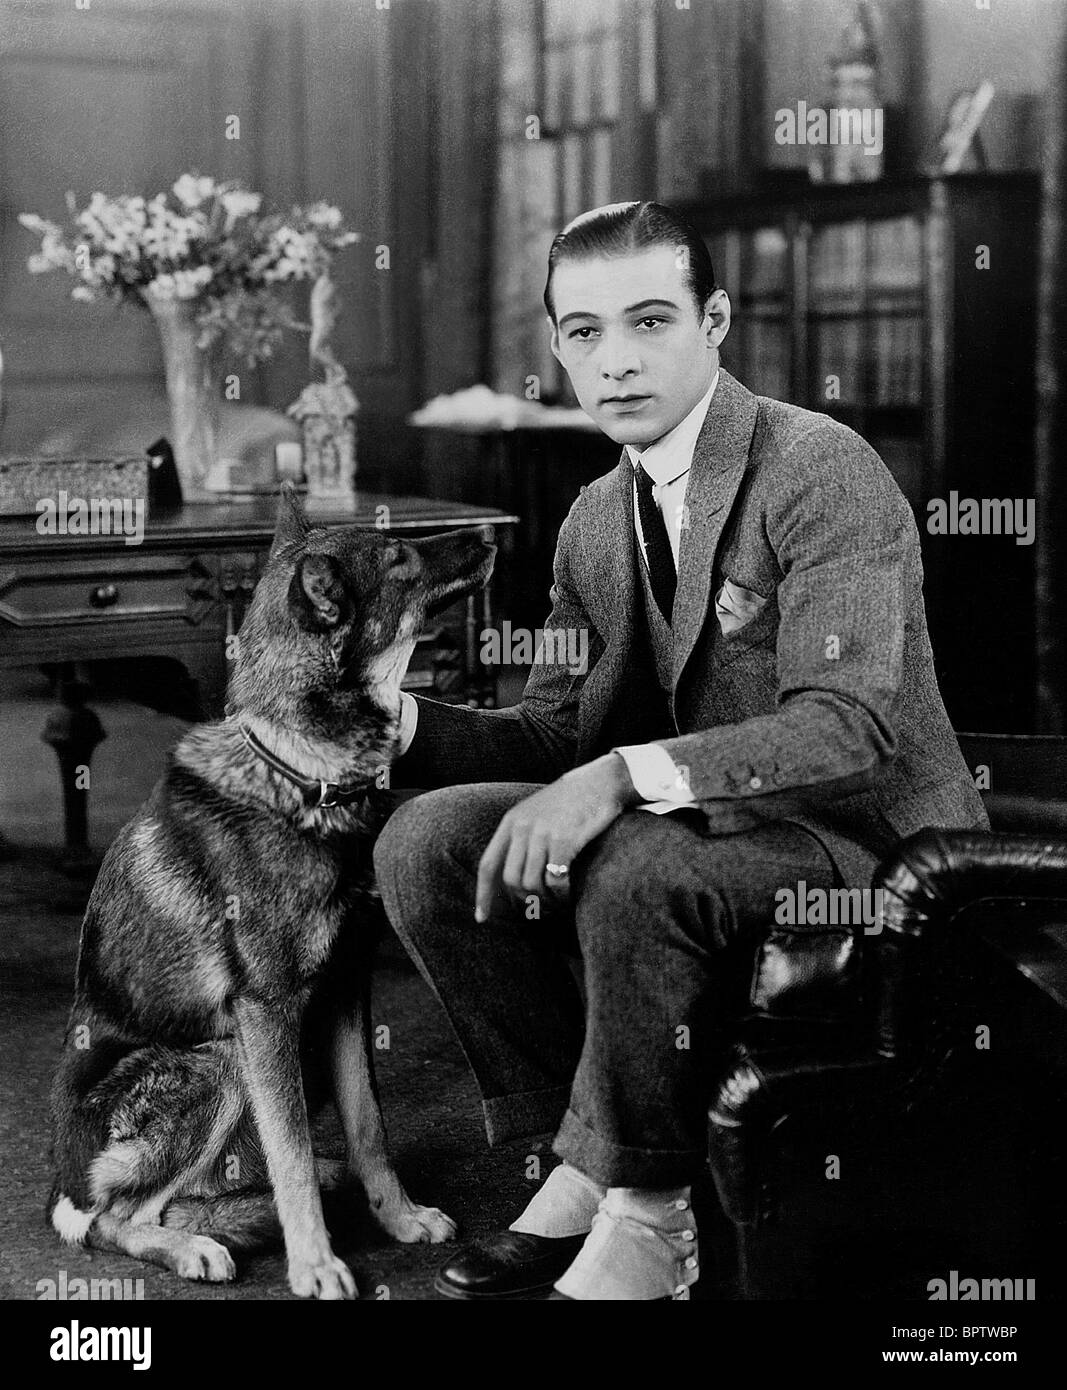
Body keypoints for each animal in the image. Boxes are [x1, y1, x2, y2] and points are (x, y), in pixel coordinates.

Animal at [47, 483, 497, 1295]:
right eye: (401, 558)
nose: (488, 535)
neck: (301, 771)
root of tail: (62, 1184)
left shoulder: (345, 993)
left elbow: (369, 1127)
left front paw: (400, 1218)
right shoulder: (265, 1010)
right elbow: (292, 1160)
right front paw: (315, 1265)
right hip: (219, 1059)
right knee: (111, 1220)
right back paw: (191, 1248)